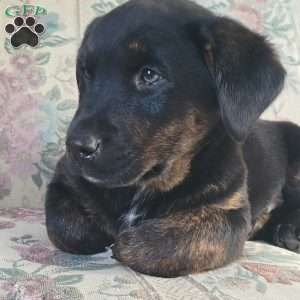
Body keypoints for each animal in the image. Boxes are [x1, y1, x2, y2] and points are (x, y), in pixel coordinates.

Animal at [45, 0, 300, 276]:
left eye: (149, 75)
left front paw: (134, 241)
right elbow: (63, 225)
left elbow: (188, 239)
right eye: (86, 73)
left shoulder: (230, 211)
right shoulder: (63, 180)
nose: (76, 146)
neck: (151, 182)